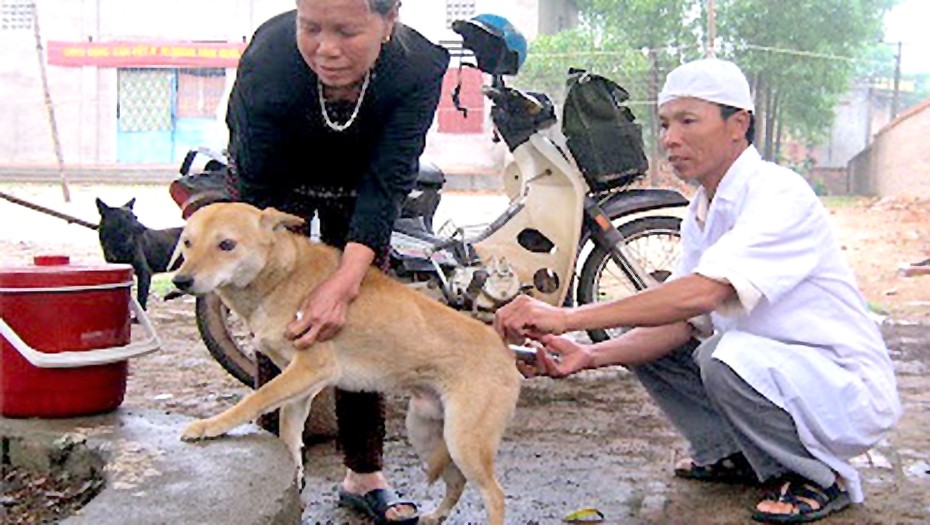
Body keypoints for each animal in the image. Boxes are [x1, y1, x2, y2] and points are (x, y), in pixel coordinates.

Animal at [170, 202, 520, 524]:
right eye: (187, 243)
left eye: (226, 244)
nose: (180, 281)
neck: (282, 275)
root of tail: (504, 349)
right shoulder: (299, 386)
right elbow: (289, 434)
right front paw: (295, 476)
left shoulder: (311, 369)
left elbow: (254, 400)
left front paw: (209, 426)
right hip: (427, 430)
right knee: (457, 481)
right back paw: (434, 515)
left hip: (465, 441)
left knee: (495, 494)